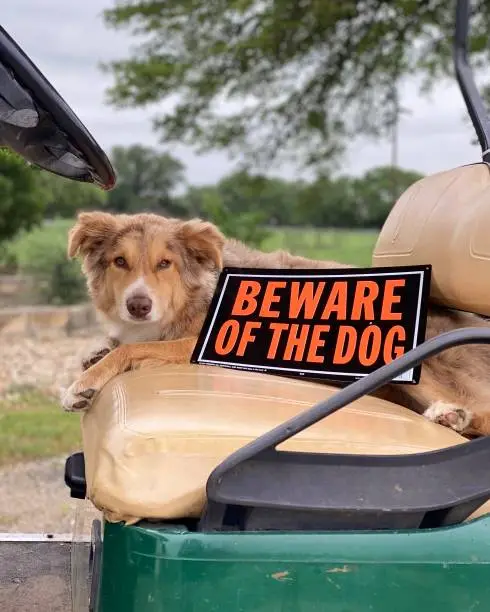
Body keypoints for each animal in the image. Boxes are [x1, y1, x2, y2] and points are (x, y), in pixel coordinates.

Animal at [62, 213, 490, 438]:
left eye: (164, 264)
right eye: (119, 262)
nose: (138, 305)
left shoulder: (199, 345)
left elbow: (133, 348)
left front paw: (82, 385)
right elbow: (117, 344)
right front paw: (94, 355)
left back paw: (453, 416)